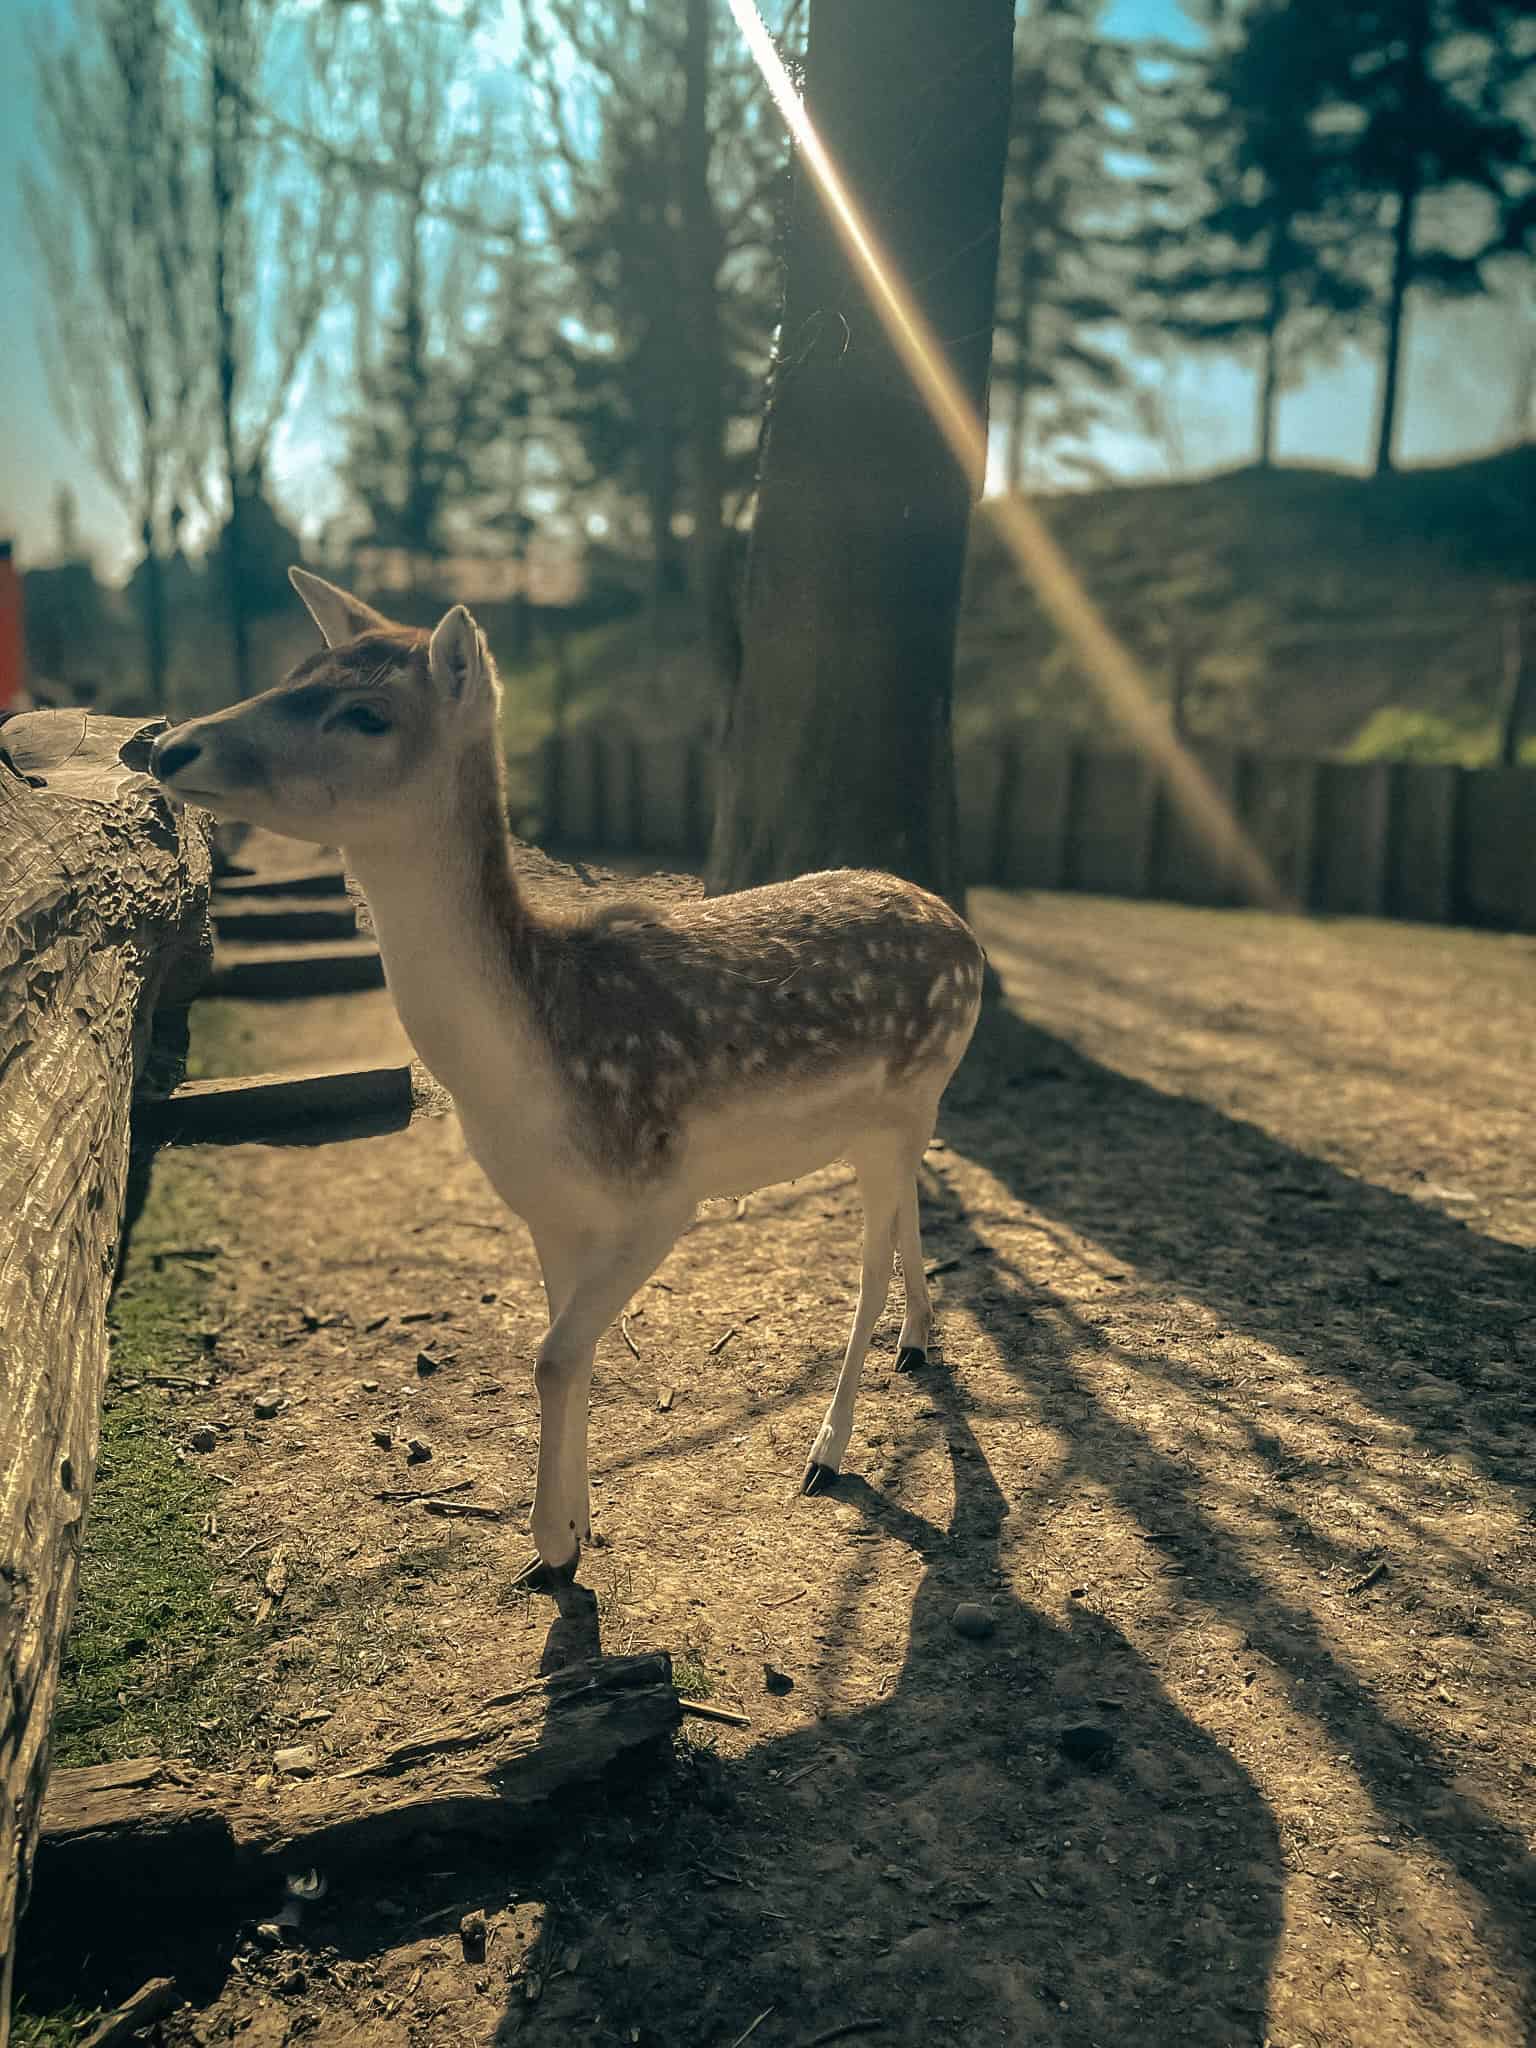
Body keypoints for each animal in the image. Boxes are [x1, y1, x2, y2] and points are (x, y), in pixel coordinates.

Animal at [151, 569, 986, 1584]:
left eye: (366, 713)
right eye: (294, 672)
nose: (166, 744)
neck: (528, 1083)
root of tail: (964, 932)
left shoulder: (662, 1194)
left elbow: (550, 1356)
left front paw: (550, 1549)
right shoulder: (549, 1209)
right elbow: (566, 1348)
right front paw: (576, 1530)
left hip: (904, 1099)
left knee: (865, 1263)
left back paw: (827, 1451)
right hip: (901, 1118)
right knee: (910, 1215)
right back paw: (918, 1344)